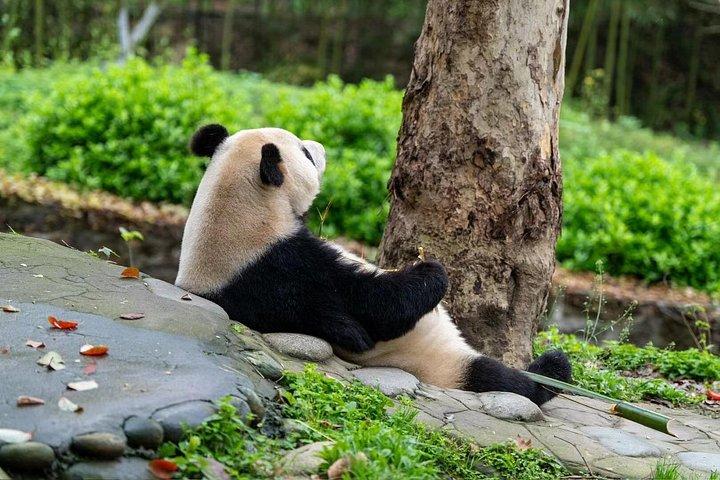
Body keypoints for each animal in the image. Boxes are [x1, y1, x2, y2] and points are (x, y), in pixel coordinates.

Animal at [176, 125, 571, 406]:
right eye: (304, 153)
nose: (320, 147)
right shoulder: (288, 269)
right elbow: (378, 309)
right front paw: (431, 272)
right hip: (438, 361)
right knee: (499, 379)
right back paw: (552, 369)